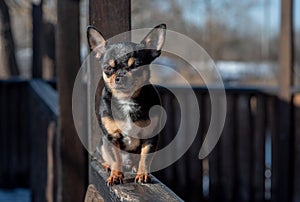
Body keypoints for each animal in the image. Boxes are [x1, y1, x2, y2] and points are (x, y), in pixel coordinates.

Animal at [86, 23, 166, 185]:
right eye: (108, 68)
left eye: (135, 66)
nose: (120, 75)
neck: (126, 100)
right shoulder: (112, 137)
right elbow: (116, 158)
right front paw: (116, 175)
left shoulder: (150, 137)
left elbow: (145, 157)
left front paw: (143, 174)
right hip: (102, 144)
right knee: (104, 156)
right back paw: (107, 165)